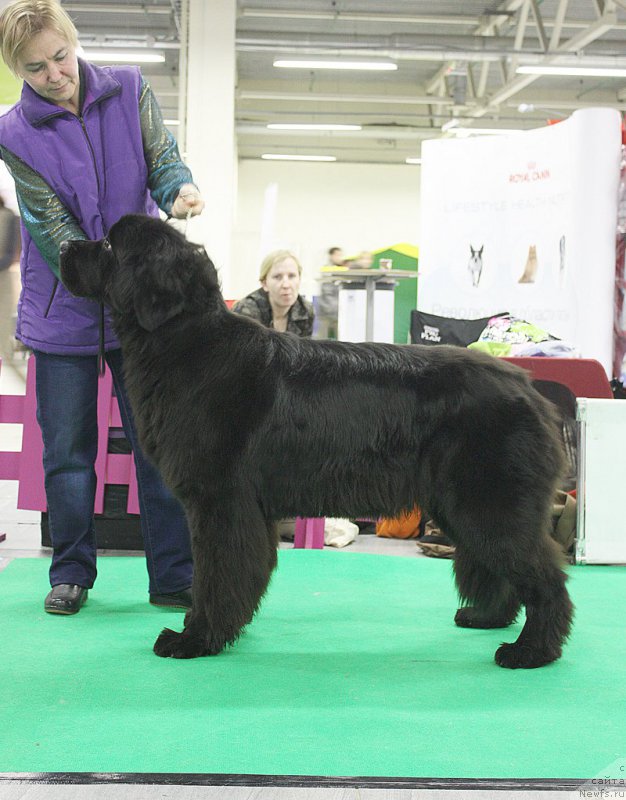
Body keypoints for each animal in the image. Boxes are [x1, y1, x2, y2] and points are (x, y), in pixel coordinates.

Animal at [58, 214, 572, 668]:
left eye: (109, 243)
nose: (63, 246)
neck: (187, 342)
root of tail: (530, 390)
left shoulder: (220, 501)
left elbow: (217, 573)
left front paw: (196, 638)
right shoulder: (244, 508)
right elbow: (238, 572)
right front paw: (215, 630)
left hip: (488, 503)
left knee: (545, 577)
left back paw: (531, 651)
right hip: (462, 506)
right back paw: (488, 618)